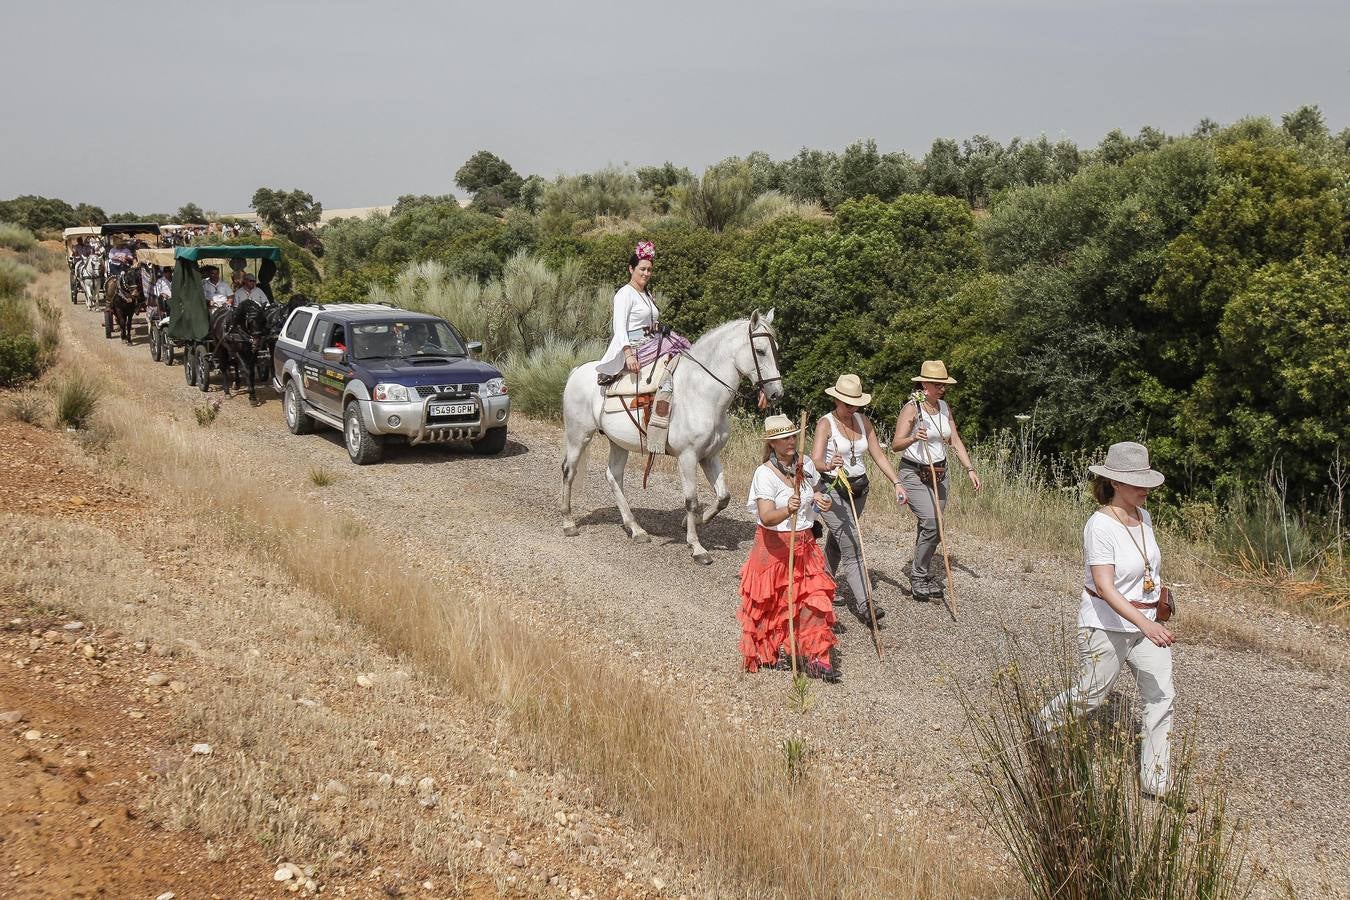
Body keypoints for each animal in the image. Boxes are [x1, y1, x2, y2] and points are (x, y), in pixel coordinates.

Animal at [166, 244, 290, 402]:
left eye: (263, 320)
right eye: (250, 320)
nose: (257, 340)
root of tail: (220, 310)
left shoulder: (251, 352)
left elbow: (249, 369)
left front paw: (252, 393)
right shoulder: (238, 350)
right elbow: (245, 368)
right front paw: (251, 395)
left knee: (233, 363)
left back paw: (236, 383)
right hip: (218, 347)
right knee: (221, 364)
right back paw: (225, 389)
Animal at [561, 310, 788, 564]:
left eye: (776, 348)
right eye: (760, 350)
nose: (776, 393)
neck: (701, 393)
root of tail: (577, 371)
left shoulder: (710, 456)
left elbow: (723, 497)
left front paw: (697, 520)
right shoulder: (687, 457)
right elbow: (691, 499)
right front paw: (697, 547)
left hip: (617, 443)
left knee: (613, 477)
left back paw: (636, 529)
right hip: (578, 435)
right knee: (569, 471)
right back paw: (569, 523)